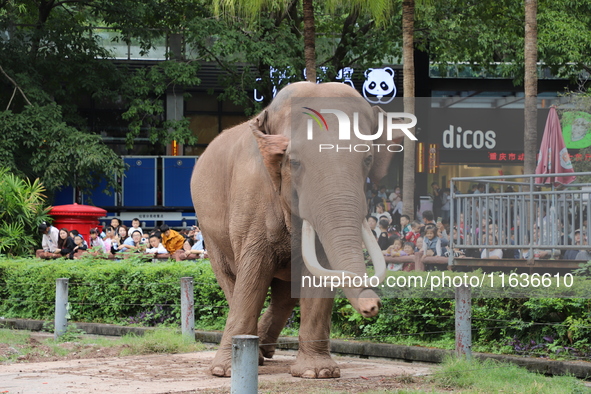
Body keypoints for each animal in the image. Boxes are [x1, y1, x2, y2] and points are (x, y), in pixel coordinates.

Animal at [192, 82, 410, 378]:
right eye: (293, 162)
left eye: (367, 159)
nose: (372, 306)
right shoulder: (252, 195)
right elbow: (253, 274)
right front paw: (223, 371)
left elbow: (320, 273)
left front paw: (318, 373)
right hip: (209, 229)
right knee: (230, 279)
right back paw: (252, 355)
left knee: (285, 295)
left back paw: (262, 351)